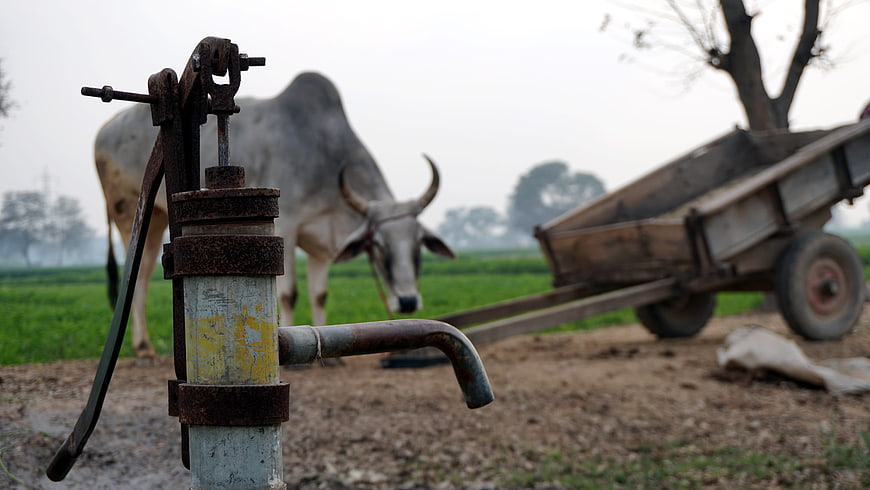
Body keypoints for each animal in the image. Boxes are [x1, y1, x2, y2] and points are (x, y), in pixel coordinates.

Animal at [95, 71, 455, 360]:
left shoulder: (321, 246)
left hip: (156, 218)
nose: (407, 302)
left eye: (419, 244)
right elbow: (289, 293)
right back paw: (143, 349)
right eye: (378, 245)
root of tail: (104, 131)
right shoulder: (289, 225)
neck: (325, 157)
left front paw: (332, 354)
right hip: (132, 216)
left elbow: (319, 294)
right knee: (138, 280)